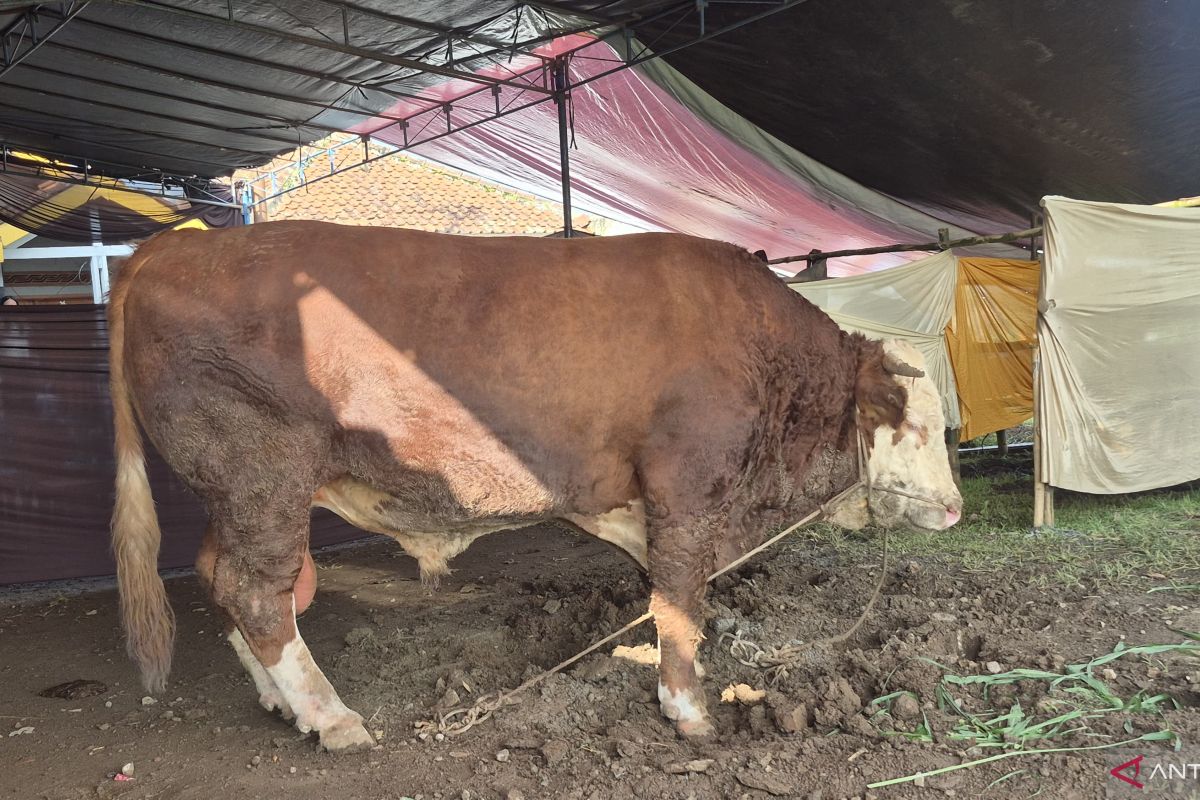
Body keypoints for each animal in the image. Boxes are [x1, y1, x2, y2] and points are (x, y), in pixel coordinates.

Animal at [109, 222, 961, 751]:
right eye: (916, 425)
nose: (954, 509)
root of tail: (173, 249)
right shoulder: (686, 485)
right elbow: (680, 600)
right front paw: (687, 711)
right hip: (262, 473)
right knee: (257, 590)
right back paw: (332, 716)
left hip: (234, 492)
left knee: (228, 579)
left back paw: (280, 701)